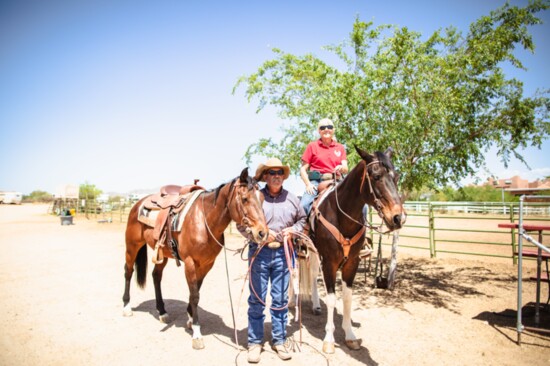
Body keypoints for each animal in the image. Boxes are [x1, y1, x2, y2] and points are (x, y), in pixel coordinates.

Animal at [122, 168, 268, 348]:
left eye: (262, 198)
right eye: (245, 198)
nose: (262, 233)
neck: (205, 221)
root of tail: (137, 204)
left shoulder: (206, 264)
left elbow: (196, 291)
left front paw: (191, 319)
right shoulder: (190, 263)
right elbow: (195, 295)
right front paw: (197, 333)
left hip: (162, 254)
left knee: (156, 276)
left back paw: (162, 311)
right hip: (132, 246)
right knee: (128, 271)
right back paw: (127, 307)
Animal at [300, 146, 408, 352]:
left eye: (396, 177)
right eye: (376, 176)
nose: (399, 218)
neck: (343, 216)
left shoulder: (352, 262)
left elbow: (347, 298)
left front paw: (350, 336)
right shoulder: (330, 263)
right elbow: (332, 298)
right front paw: (328, 339)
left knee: (313, 273)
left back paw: (316, 305)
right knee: (311, 274)